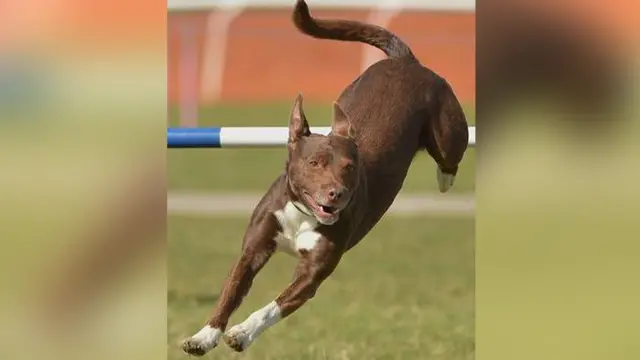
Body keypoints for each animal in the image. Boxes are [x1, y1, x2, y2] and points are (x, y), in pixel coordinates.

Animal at [182, 0, 468, 354]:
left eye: (349, 167)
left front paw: (243, 333)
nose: (337, 194)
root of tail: (406, 61)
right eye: (314, 163)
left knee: (450, 156)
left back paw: (445, 177)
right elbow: (230, 292)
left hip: (448, 132)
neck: (303, 215)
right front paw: (204, 336)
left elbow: (272, 307)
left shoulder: (312, 274)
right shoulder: (253, 251)